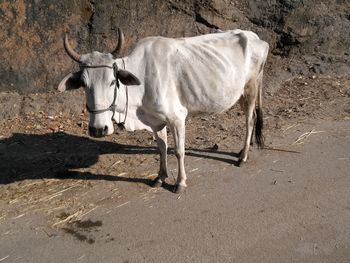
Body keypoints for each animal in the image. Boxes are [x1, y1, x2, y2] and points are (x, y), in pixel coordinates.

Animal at [58, 28, 270, 194]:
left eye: (112, 81)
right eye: (83, 84)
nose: (98, 129)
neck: (142, 81)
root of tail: (254, 37)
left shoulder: (177, 118)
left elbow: (179, 151)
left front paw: (180, 183)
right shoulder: (155, 121)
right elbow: (162, 148)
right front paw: (160, 177)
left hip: (251, 89)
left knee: (250, 120)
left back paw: (243, 156)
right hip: (241, 94)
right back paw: (242, 150)